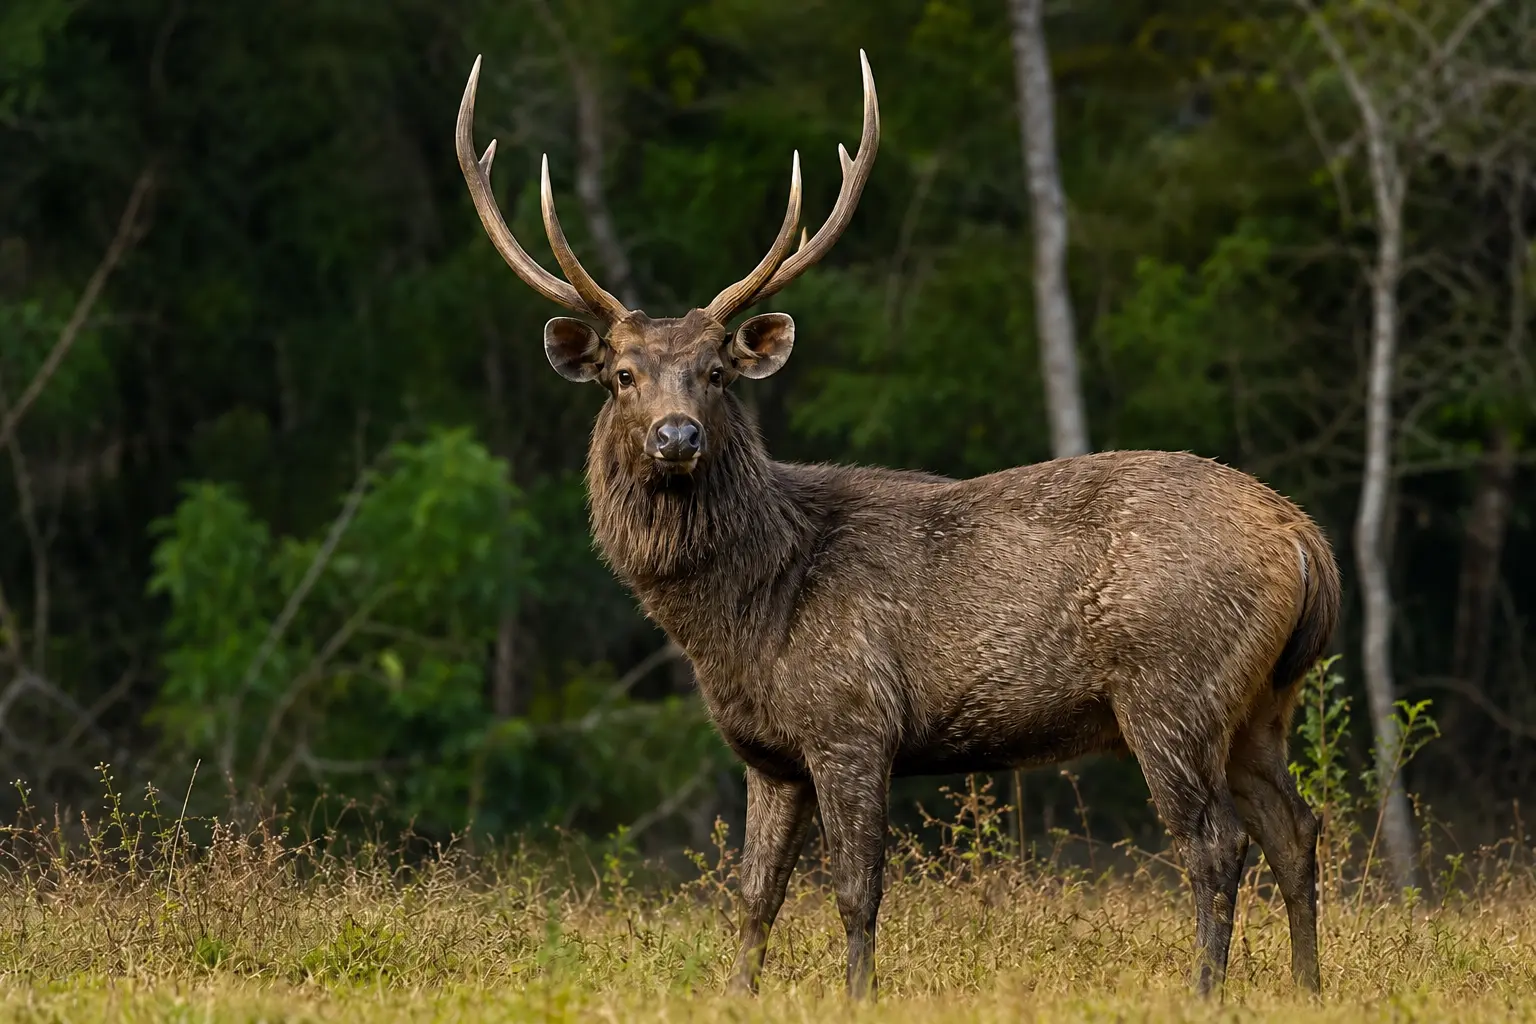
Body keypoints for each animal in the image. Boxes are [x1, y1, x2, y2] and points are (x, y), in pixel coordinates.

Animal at [455, 49, 1340, 1000]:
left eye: (717, 372)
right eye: (622, 374)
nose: (677, 436)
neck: (743, 616)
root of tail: (1304, 540)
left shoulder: (853, 719)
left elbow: (855, 890)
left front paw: (857, 993)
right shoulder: (769, 753)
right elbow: (754, 894)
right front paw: (737, 993)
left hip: (1172, 686)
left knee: (1216, 844)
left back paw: (1205, 989)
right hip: (1262, 701)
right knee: (1296, 828)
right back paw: (1308, 986)